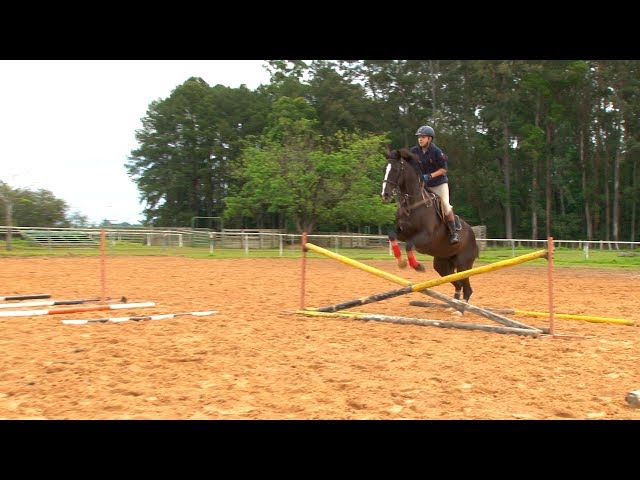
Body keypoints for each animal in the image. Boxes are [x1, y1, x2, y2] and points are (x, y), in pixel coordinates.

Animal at [380, 148, 480, 302]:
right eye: (385, 168)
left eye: (396, 170)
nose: (384, 194)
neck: (412, 204)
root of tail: (473, 235)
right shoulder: (402, 233)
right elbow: (392, 235)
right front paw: (401, 262)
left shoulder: (426, 237)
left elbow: (409, 244)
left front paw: (417, 266)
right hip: (442, 264)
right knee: (458, 284)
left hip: (463, 264)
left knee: (467, 289)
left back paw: (461, 307)